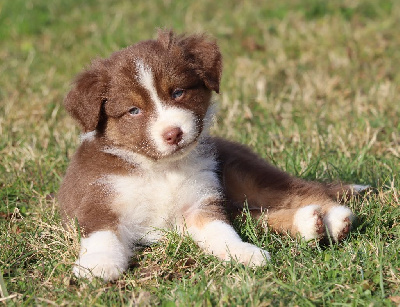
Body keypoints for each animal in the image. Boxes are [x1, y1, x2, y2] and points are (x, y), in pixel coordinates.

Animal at [58, 29, 366, 282]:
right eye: (134, 111)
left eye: (178, 92)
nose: (173, 133)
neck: (161, 169)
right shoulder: (99, 199)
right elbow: (102, 234)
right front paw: (99, 265)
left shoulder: (201, 203)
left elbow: (222, 231)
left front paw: (243, 252)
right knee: (260, 216)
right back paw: (311, 224)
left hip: (247, 175)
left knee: (304, 191)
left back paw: (335, 218)